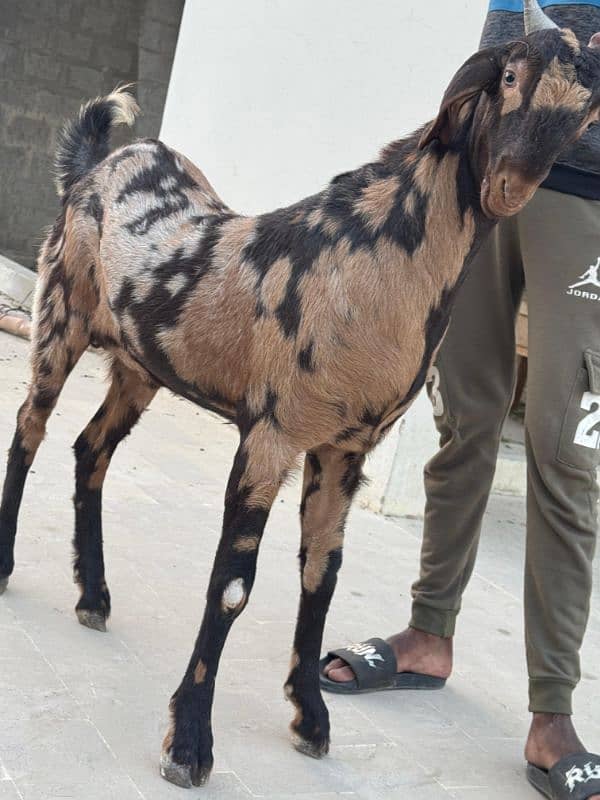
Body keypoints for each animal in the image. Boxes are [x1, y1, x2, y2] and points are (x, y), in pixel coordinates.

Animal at [1, 0, 600, 788]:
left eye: (586, 111)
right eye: (506, 75)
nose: (511, 183)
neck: (379, 256)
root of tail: (96, 165)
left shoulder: (345, 451)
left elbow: (322, 578)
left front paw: (310, 717)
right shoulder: (271, 434)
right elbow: (232, 586)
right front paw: (190, 744)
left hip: (140, 367)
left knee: (89, 449)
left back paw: (94, 595)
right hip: (61, 315)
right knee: (29, 430)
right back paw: (6, 565)